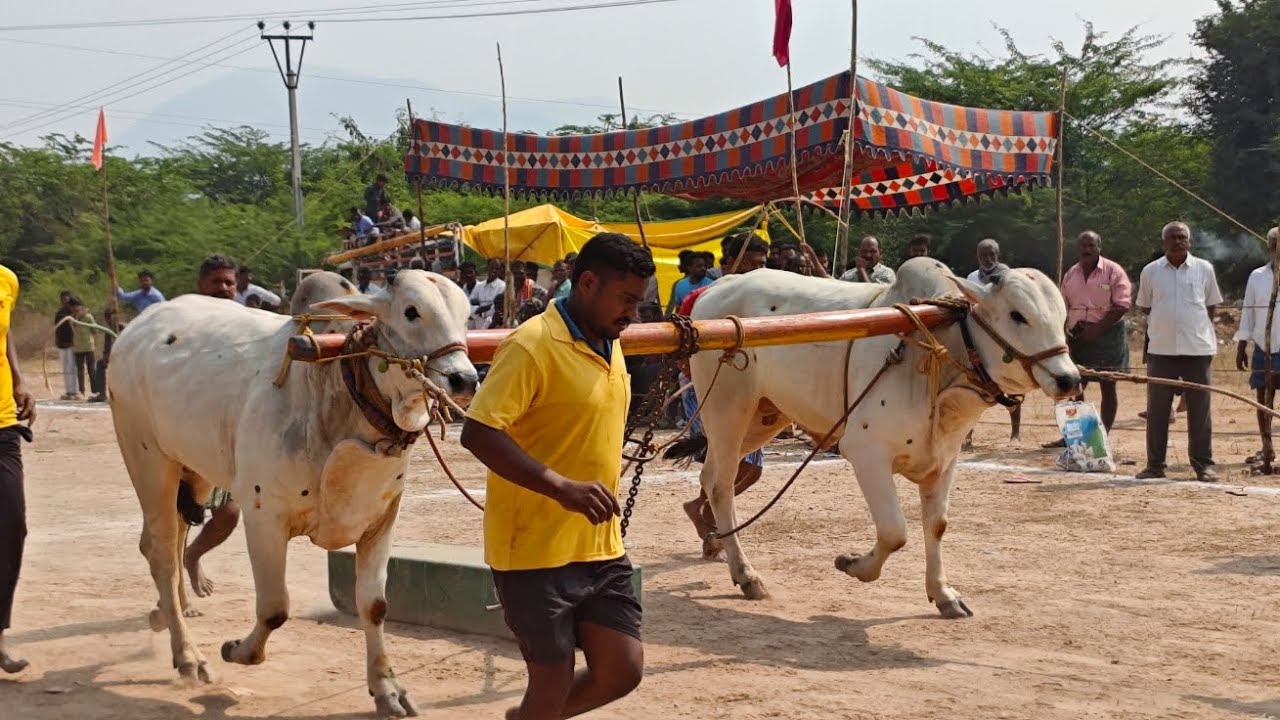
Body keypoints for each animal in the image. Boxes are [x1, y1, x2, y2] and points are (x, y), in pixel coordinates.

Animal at [108, 269, 477, 717]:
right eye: (411, 311)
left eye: (467, 315)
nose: (465, 379)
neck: (334, 388)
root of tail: (135, 329)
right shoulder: (263, 517)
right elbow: (274, 609)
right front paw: (237, 650)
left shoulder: (381, 520)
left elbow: (374, 606)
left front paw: (387, 689)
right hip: (147, 459)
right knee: (162, 553)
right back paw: (188, 656)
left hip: (192, 468)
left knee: (170, 540)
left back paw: (167, 612)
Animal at [668, 258, 1079, 618]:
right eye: (1017, 315)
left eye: (1062, 319)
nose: (1069, 379)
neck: (935, 353)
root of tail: (716, 288)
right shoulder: (866, 453)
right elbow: (895, 532)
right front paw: (853, 565)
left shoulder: (945, 460)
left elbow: (937, 525)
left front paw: (943, 595)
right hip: (727, 409)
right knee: (721, 485)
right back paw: (746, 574)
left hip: (764, 417)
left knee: (710, 475)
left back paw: (716, 541)